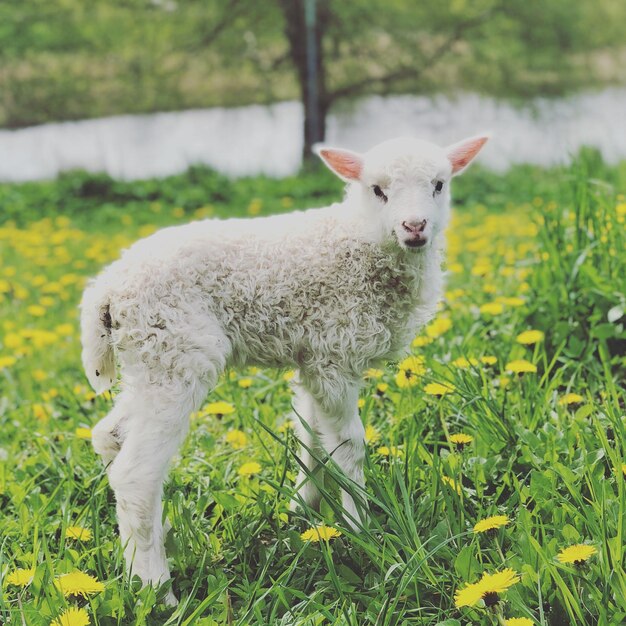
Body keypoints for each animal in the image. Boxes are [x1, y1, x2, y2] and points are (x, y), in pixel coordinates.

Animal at [79, 134, 488, 604]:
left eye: (440, 184)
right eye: (377, 190)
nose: (415, 226)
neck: (360, 239)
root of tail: (106, 292)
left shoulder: (313, 354)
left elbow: (311, 437)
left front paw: (305, 509)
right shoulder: (336, 352)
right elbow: (349, 446)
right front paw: (360, 527)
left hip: (148, 358)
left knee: (108, 436)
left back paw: (148, 551)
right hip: (175, 350)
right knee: (135, 476)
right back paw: (157, 592)